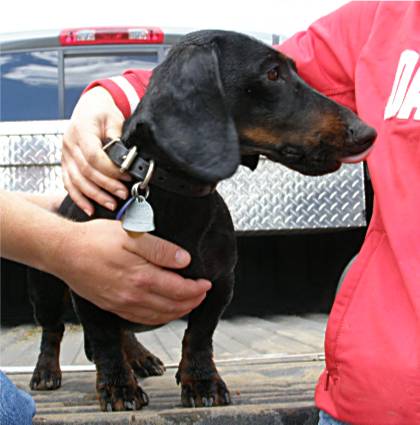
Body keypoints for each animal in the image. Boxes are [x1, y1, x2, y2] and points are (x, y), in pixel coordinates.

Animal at [29, 30, 378, 410]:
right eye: (273, 73)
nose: (367, 132)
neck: (173, 192)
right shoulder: (91, 286)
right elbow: (105, 340)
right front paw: (119, 387)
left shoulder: (219, 283)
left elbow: (198, 336)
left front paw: (200, 381)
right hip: (47, 287)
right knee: (54, 331)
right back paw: (47, 371)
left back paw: (140, 357)